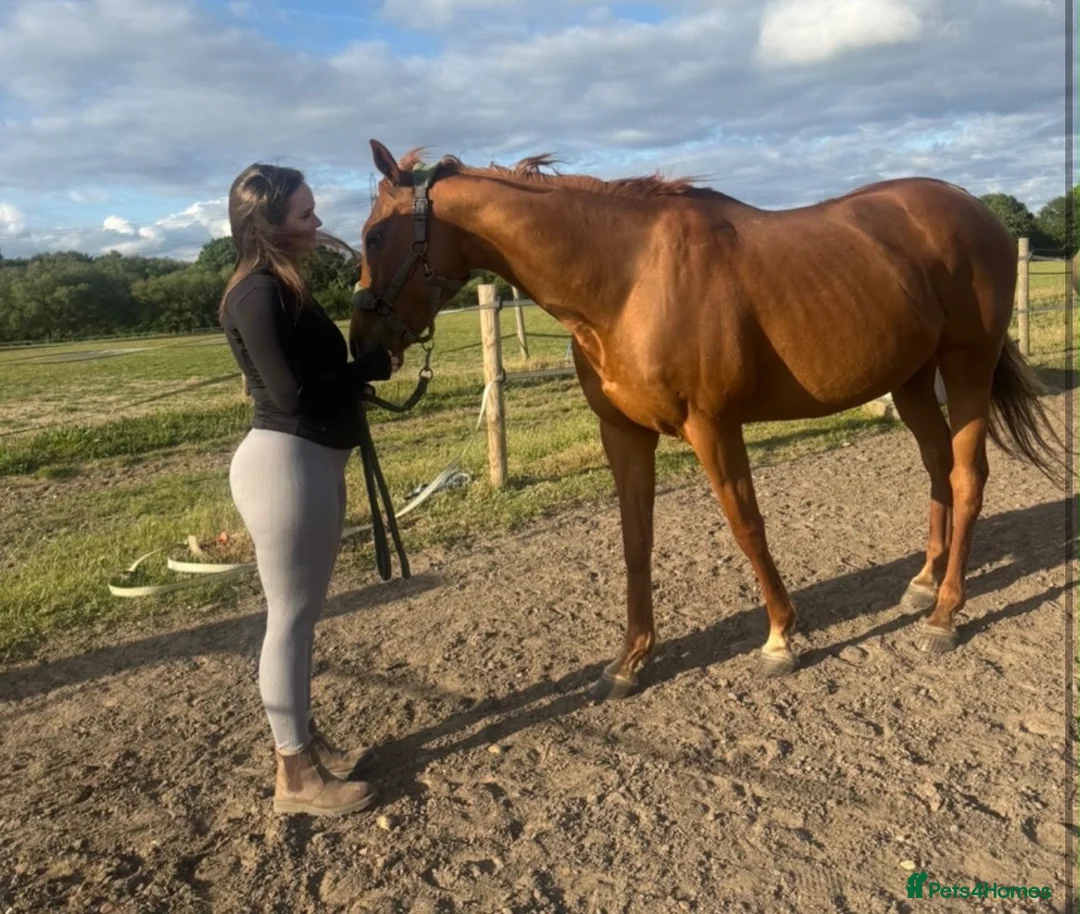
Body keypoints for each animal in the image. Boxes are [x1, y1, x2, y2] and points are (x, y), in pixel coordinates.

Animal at [350, 139, 1064, 701]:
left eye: (374, 236)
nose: (364, 350)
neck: (627, 280)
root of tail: (975, 211)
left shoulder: (712, 427)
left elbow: (747, 525)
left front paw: (780, 638)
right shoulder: (624, 435)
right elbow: (635, 541)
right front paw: (630, 660)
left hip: (966, 370)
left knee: (968, 478)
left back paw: (945, 615)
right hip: (912, 381)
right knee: (938, 469)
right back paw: (921, 585)